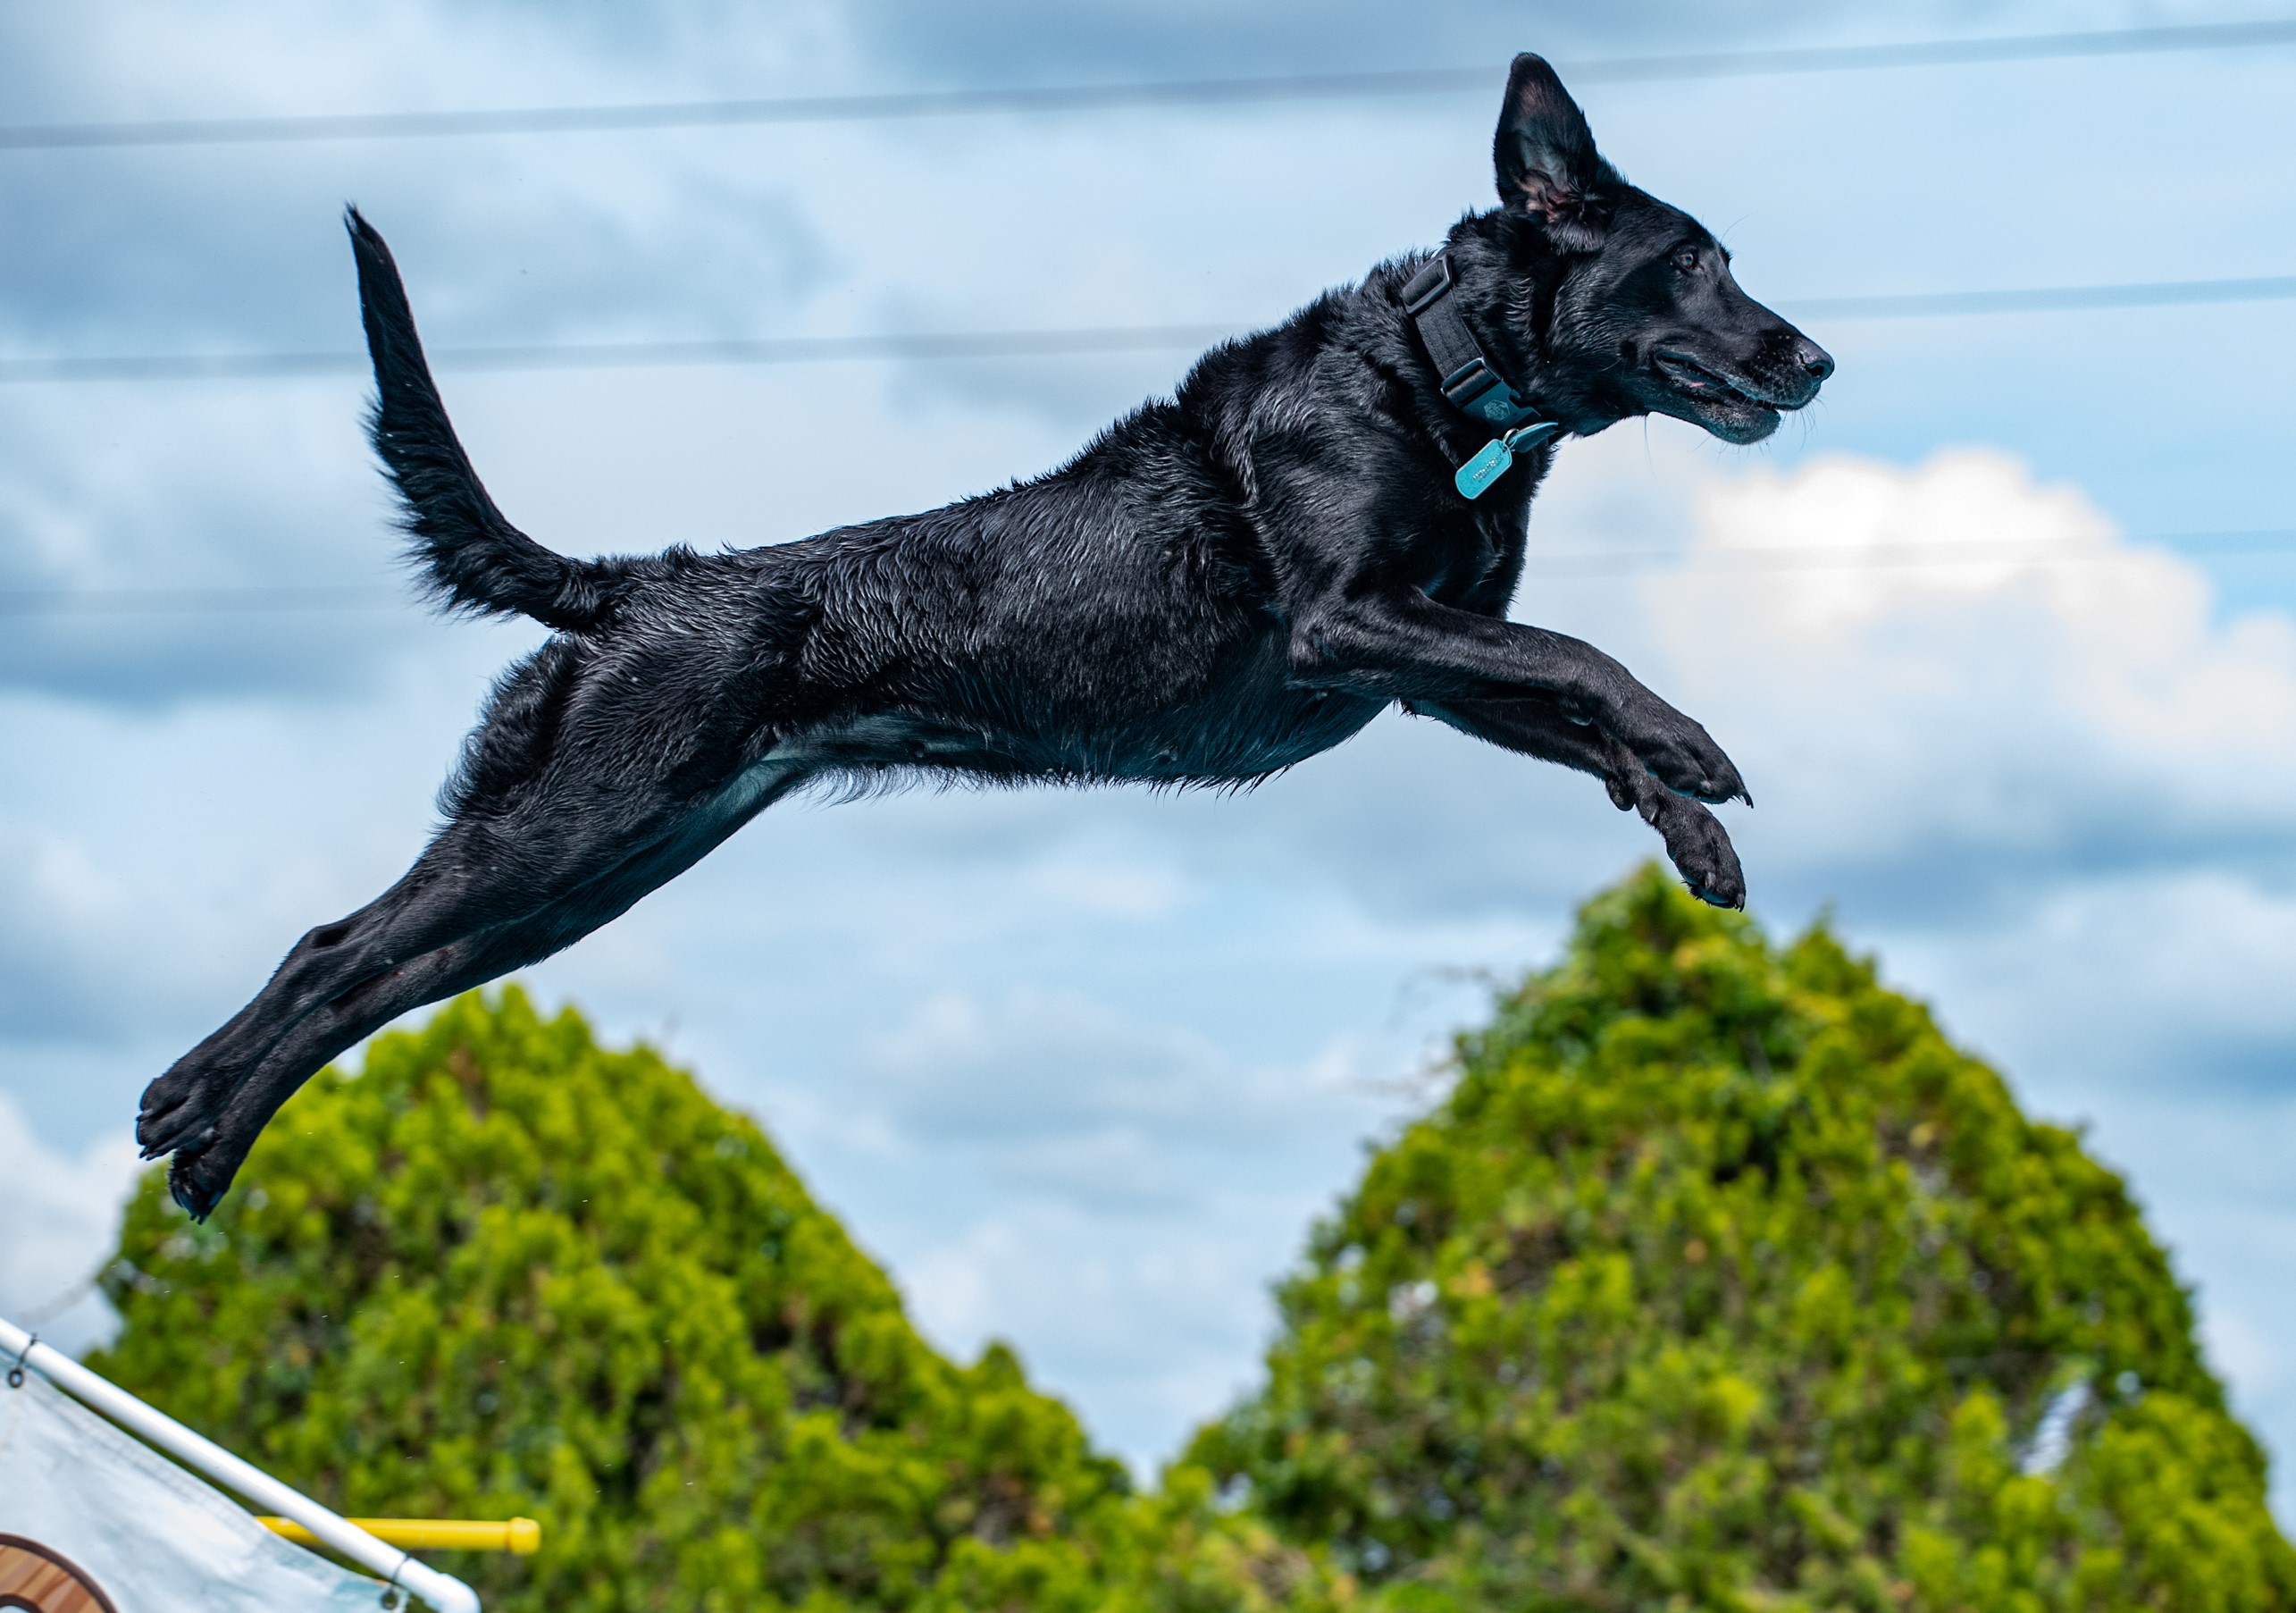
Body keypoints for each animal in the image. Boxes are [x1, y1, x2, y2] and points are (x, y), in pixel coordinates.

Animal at [138, 54, 1827, 1222]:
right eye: (1695, 262)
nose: (1814, 357)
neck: (1444, 371)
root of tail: (629, 586)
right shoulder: (1352, 626)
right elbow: (1592, 666)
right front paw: (1695, 750)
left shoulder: (1429, 663)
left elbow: (1572, 710)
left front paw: (1692, 830)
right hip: (566, 828)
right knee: (332, 949)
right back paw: (178, 1108)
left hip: (586, 880)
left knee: (375, 977)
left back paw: (206, 1143)